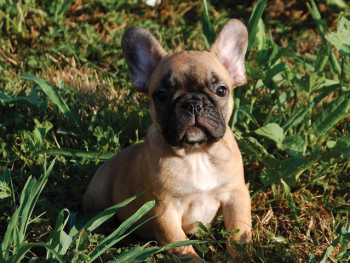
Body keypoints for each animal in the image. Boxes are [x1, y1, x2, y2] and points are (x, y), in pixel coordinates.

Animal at [82, 18, 252, 262]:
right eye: (162, 95)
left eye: (221, 90)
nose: (193, 104)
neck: (196, 153)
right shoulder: (164, 210)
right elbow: (183, 249)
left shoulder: (236, 197)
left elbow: (239, 236)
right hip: (98, 197)